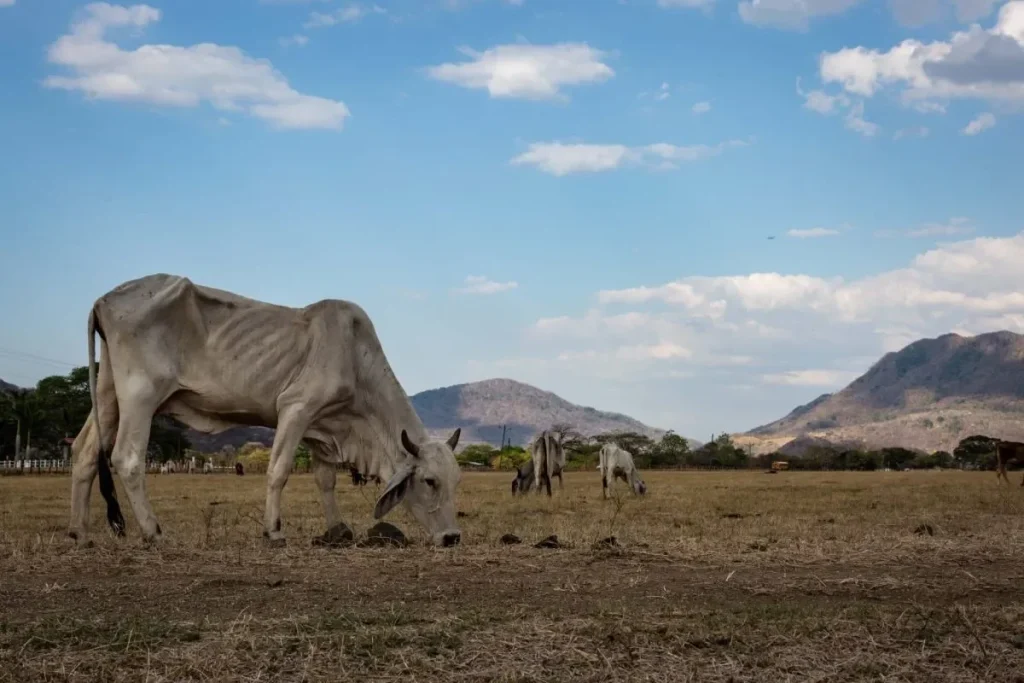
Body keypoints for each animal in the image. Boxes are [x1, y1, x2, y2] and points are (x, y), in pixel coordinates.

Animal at [67, 273, 464, 549]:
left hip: (108, 394)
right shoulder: (296, 407)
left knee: (84, 452)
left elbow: (325, 479)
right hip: (141, 396)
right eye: (430, 481)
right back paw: (153, 532)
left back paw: (80, 533)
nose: (452, 537)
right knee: (127, 458)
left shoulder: (322, 427)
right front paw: (273, 531)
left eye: (457, 481)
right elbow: (279, 471)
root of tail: (103, 301)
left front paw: (336, 530)